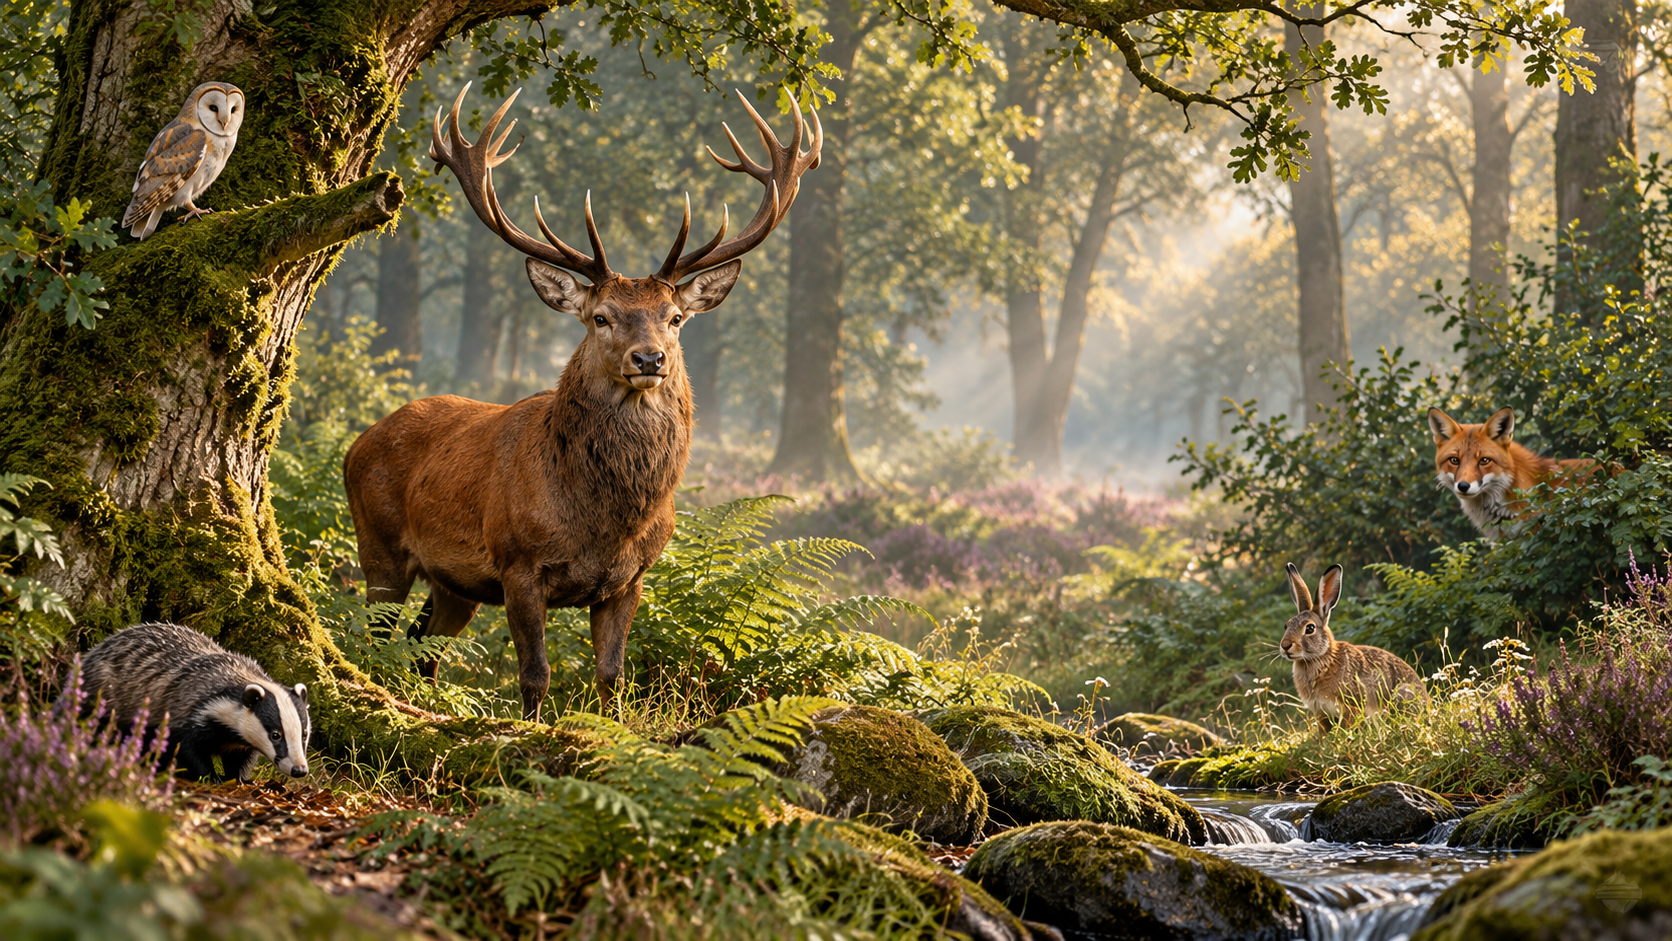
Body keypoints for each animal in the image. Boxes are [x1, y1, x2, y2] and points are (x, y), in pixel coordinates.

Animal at [344, 84, 820, 722]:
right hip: (380, 546)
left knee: (423, 647)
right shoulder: (518, 565)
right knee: (376, 639)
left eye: (675, 318)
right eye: (601, 317)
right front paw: (530, 738)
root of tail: (358, 442)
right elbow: (535, 676)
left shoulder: (631, 577)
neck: (604, 521)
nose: (649, 359)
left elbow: (612, 676)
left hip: (454, 582)